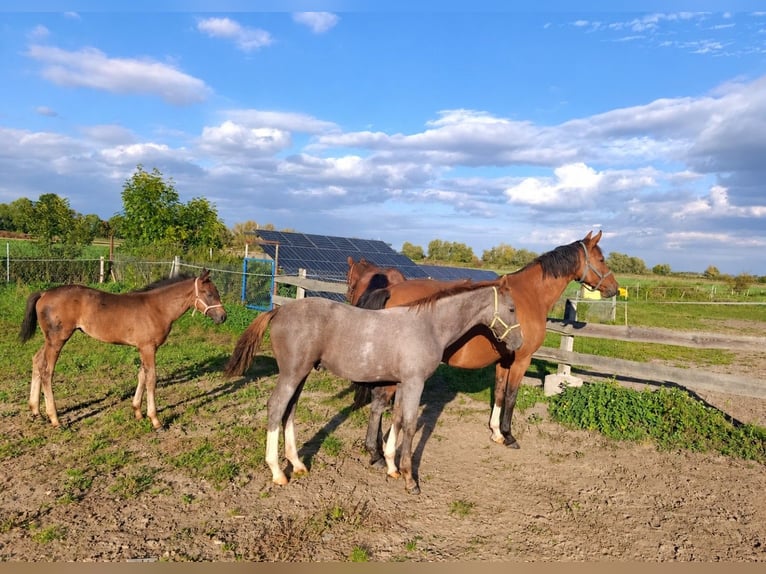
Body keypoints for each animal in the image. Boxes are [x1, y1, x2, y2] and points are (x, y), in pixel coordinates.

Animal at [19, 269, 227, 430]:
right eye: (209, 293)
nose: (223, 317)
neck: (157, 308)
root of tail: (44, 293)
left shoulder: (143, 348)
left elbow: (142, 375)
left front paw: (138, 412)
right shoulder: (148, 348)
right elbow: (151, 379)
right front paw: (155, 421)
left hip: (50, 339)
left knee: (36, 360)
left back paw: (36, 411)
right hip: (57, 340)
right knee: (47, 371)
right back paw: (55, 419)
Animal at [224, 279, 524, 494]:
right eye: (511, 309)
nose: (519, 343)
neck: (428, 326)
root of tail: (279, 310)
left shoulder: (401, 383)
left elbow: (398, 420)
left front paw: (391, 466)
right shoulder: (415, 383)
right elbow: (410, 425)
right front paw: (410, 479)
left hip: (301, 374)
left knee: (290, 411)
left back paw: (297, 464)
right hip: (291, 373)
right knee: (276, 408)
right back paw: (277, 472)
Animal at [347, 230, 619, 465]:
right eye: (602, 259)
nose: (614, 288)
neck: (529, 295)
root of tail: (390, 290)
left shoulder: (504, 361)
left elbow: (498, 393)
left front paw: (496, 432)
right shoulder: (521, 360)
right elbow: (511, 396)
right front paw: (509, 436)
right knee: (380, 400)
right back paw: (377, 453)